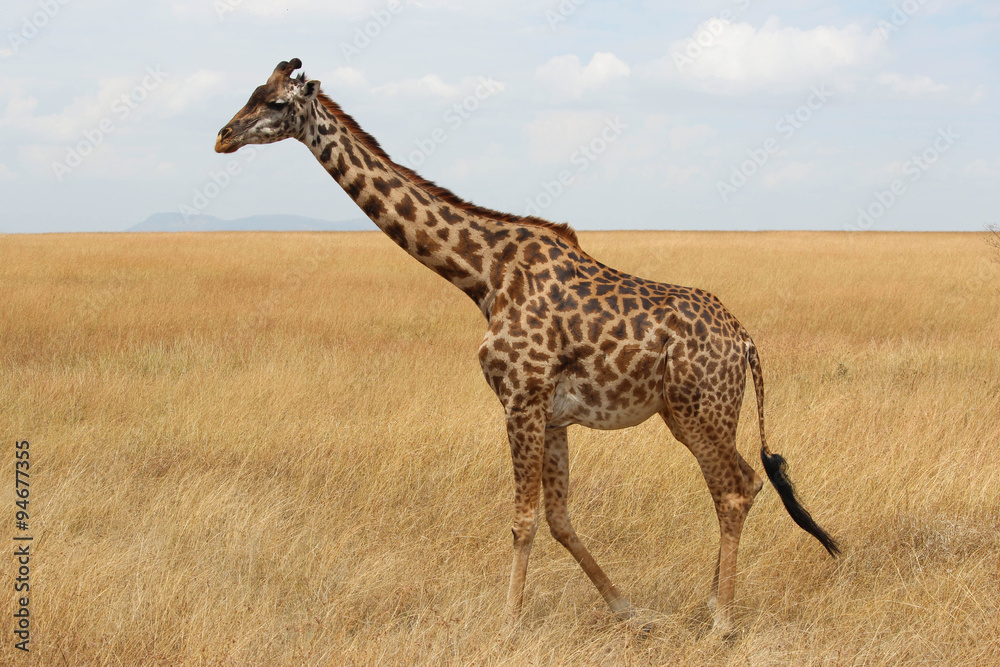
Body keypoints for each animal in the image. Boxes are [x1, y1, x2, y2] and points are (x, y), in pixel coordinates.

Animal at [215, 59, 840, 633]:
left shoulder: (519, 398)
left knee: (733, 488)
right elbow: (560, 518)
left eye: (275, 102)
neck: (484, 274)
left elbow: (522, 519)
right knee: (745, 482)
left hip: (697, 411)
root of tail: (747, 342)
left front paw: (507, 624)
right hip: (695, 412)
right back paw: (709, 604)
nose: (223, 136)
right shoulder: (554, 413)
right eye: (252, 90)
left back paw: (722, 622)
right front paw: (630, 612)